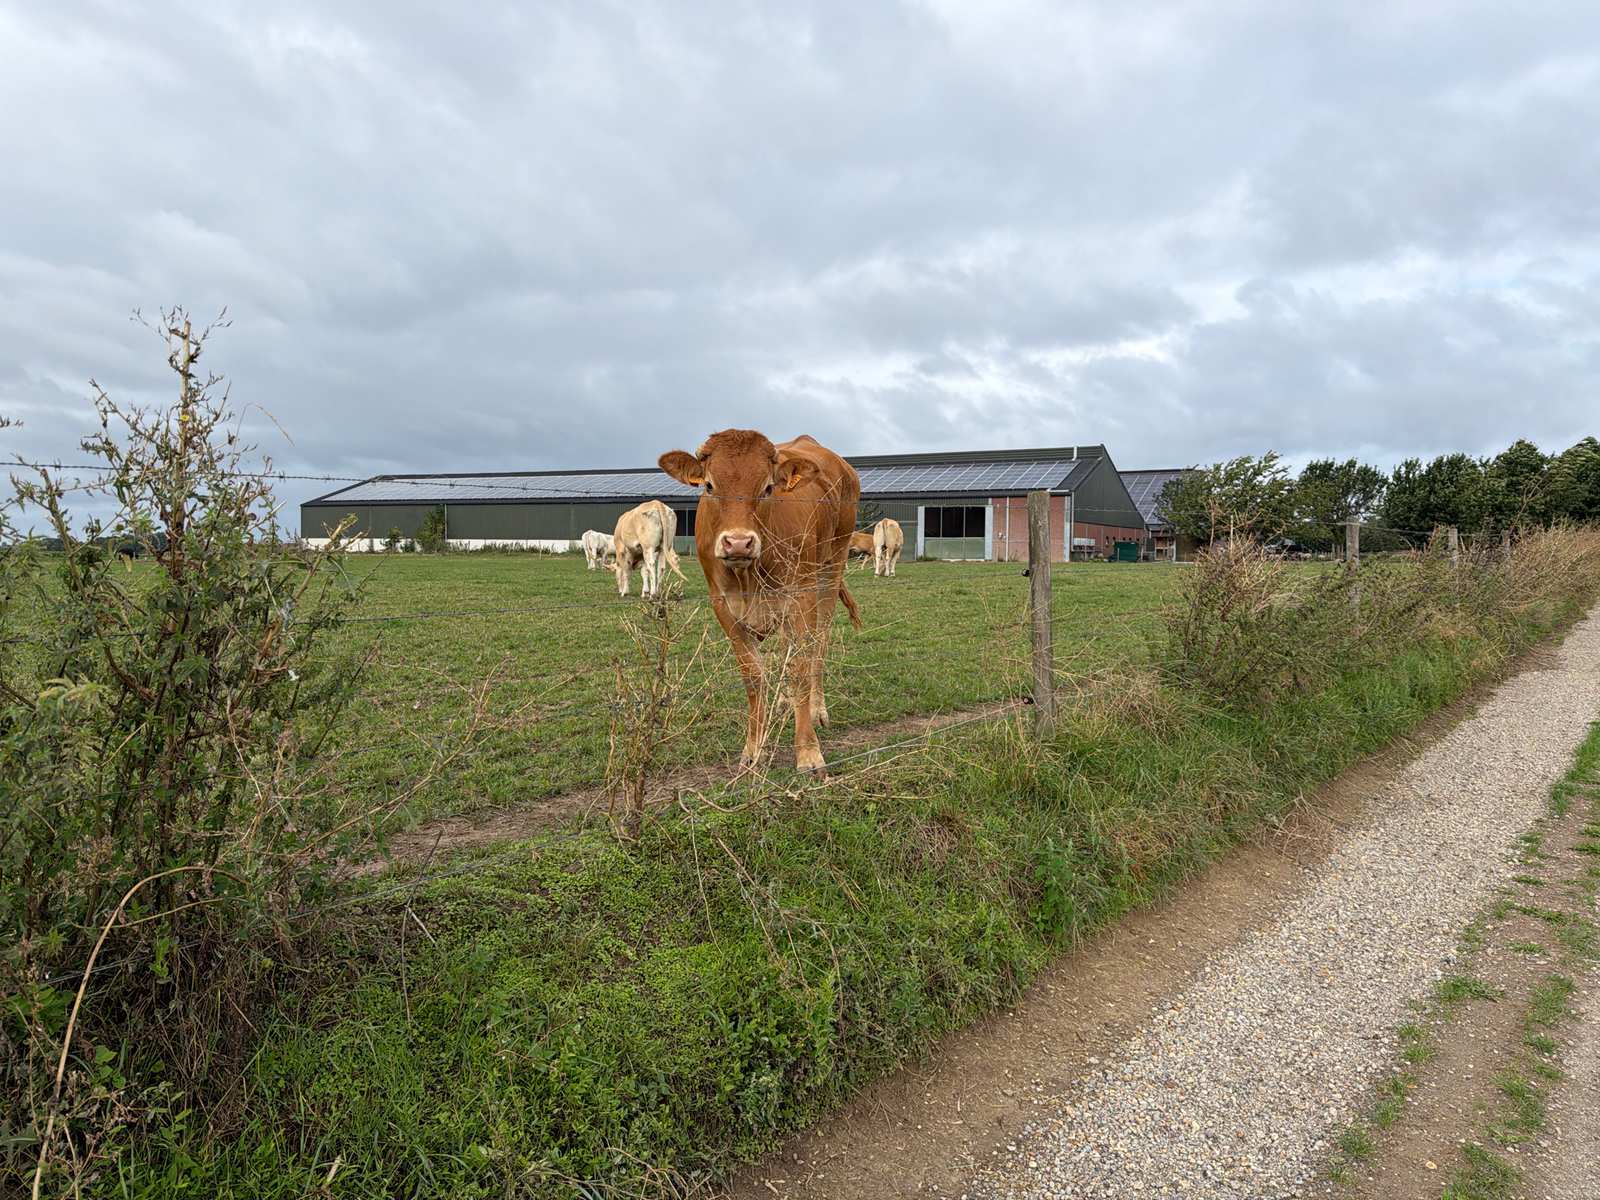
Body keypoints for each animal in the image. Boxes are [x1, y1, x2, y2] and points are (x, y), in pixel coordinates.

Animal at [659, 430, 860, 775]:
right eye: (710, 486)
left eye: (767, 488)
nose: (738, 542)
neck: (747, 577)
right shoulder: (723, 607)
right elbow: (753, 676)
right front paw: (755, 749)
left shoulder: (802, 596)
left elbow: (802, 667)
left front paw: (808, 752)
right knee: (787, 647)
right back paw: (784, 703)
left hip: (831, 568)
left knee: (818, 642)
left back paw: (816, 709)